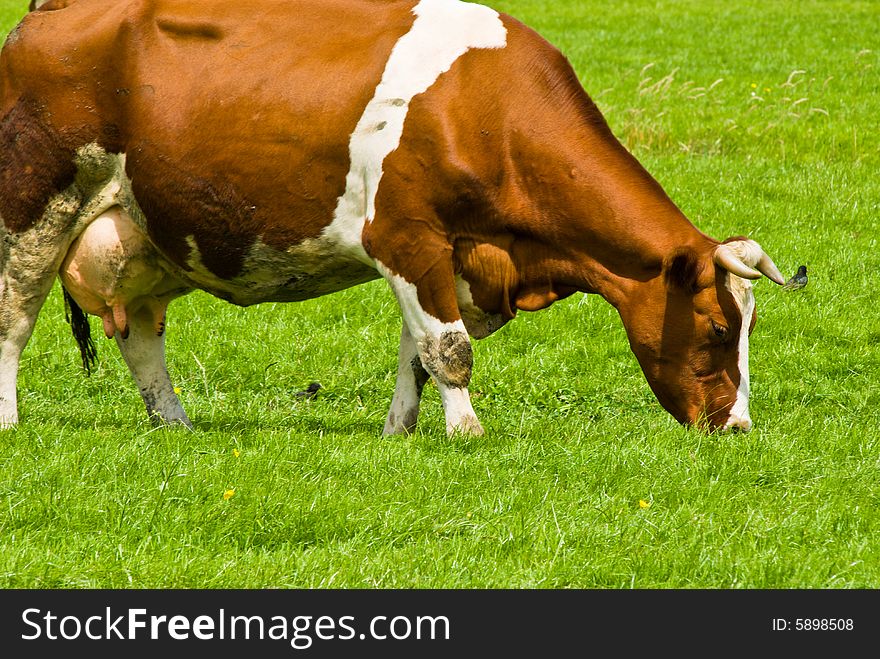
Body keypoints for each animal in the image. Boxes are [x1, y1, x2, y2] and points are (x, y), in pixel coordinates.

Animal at [0, 0, 784, 438]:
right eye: (720, 328)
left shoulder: (453, 257)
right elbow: (450, 349)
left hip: (145, 236)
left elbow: (420, 350)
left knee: (139, 336)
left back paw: (176, 424)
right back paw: (9, 420)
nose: (737, 427)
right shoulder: (405, 237)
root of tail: (51, 11)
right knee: (14, 316)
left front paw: (401, 432)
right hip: (33, 210)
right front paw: (467, 433)